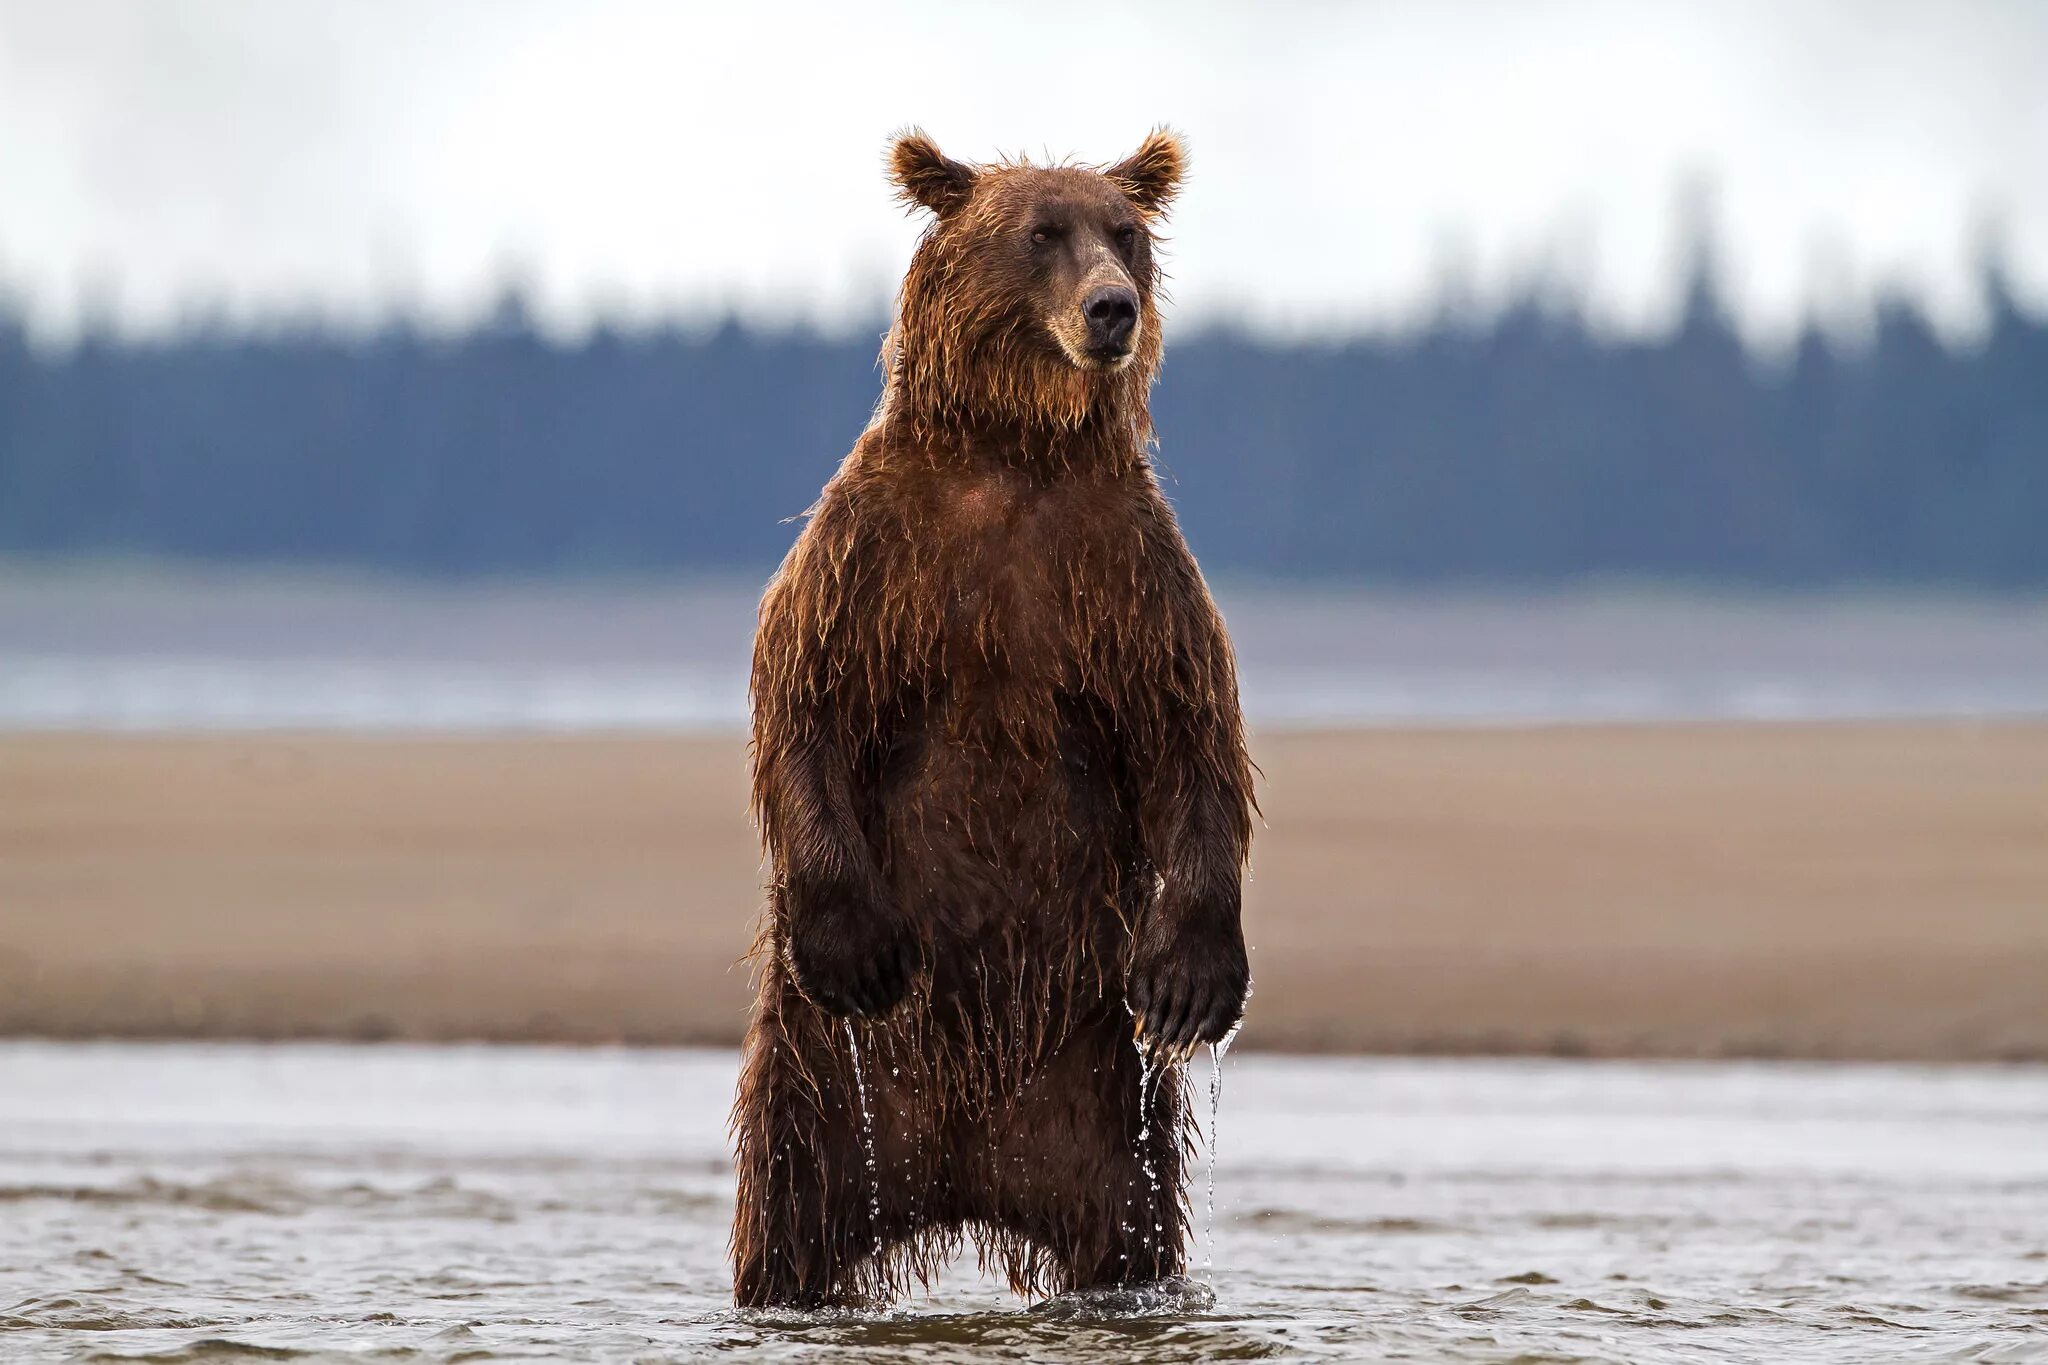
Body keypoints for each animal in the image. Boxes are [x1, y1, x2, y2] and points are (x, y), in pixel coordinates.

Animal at [729, 127, 1253, 1309]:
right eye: (1042, 231)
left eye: (1126, 232)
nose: (1111, 308)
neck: (1015, 448)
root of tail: (965, 1173)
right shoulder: (875, 553)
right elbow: (806, 702)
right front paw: (856, 945)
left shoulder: (1123, 568)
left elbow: (1192, 733)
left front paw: (1193, 981)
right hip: (824, 1093)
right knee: (787, 1225)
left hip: (1101, 1103)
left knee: (1130, 1235)